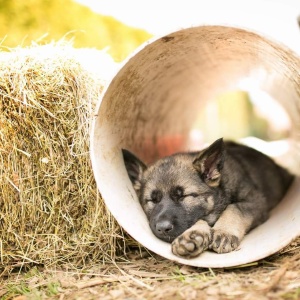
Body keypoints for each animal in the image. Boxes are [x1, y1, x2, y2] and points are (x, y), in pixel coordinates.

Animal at [123, 138, 294, 258]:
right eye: (153, 200)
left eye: (182, 196)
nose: (163, 228)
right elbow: (199, 219)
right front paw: (192, 235)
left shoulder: (255, 201)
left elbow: (235, 208)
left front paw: (224, 232)